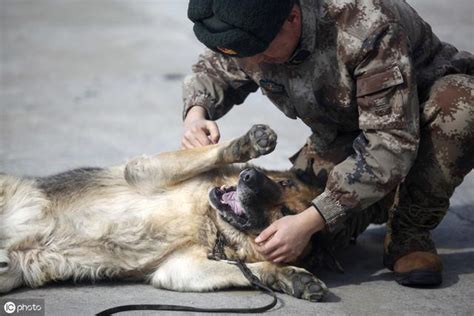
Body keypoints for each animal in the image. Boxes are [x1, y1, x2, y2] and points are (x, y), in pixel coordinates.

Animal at [0, 124, 386, 302]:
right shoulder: (144, 170)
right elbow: (211, 152)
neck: (208, 222)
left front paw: (289, 276)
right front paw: (245, 143)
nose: (249, 178)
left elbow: (250, 270)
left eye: (286, 212)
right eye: (284, 184)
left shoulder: (179, 269)